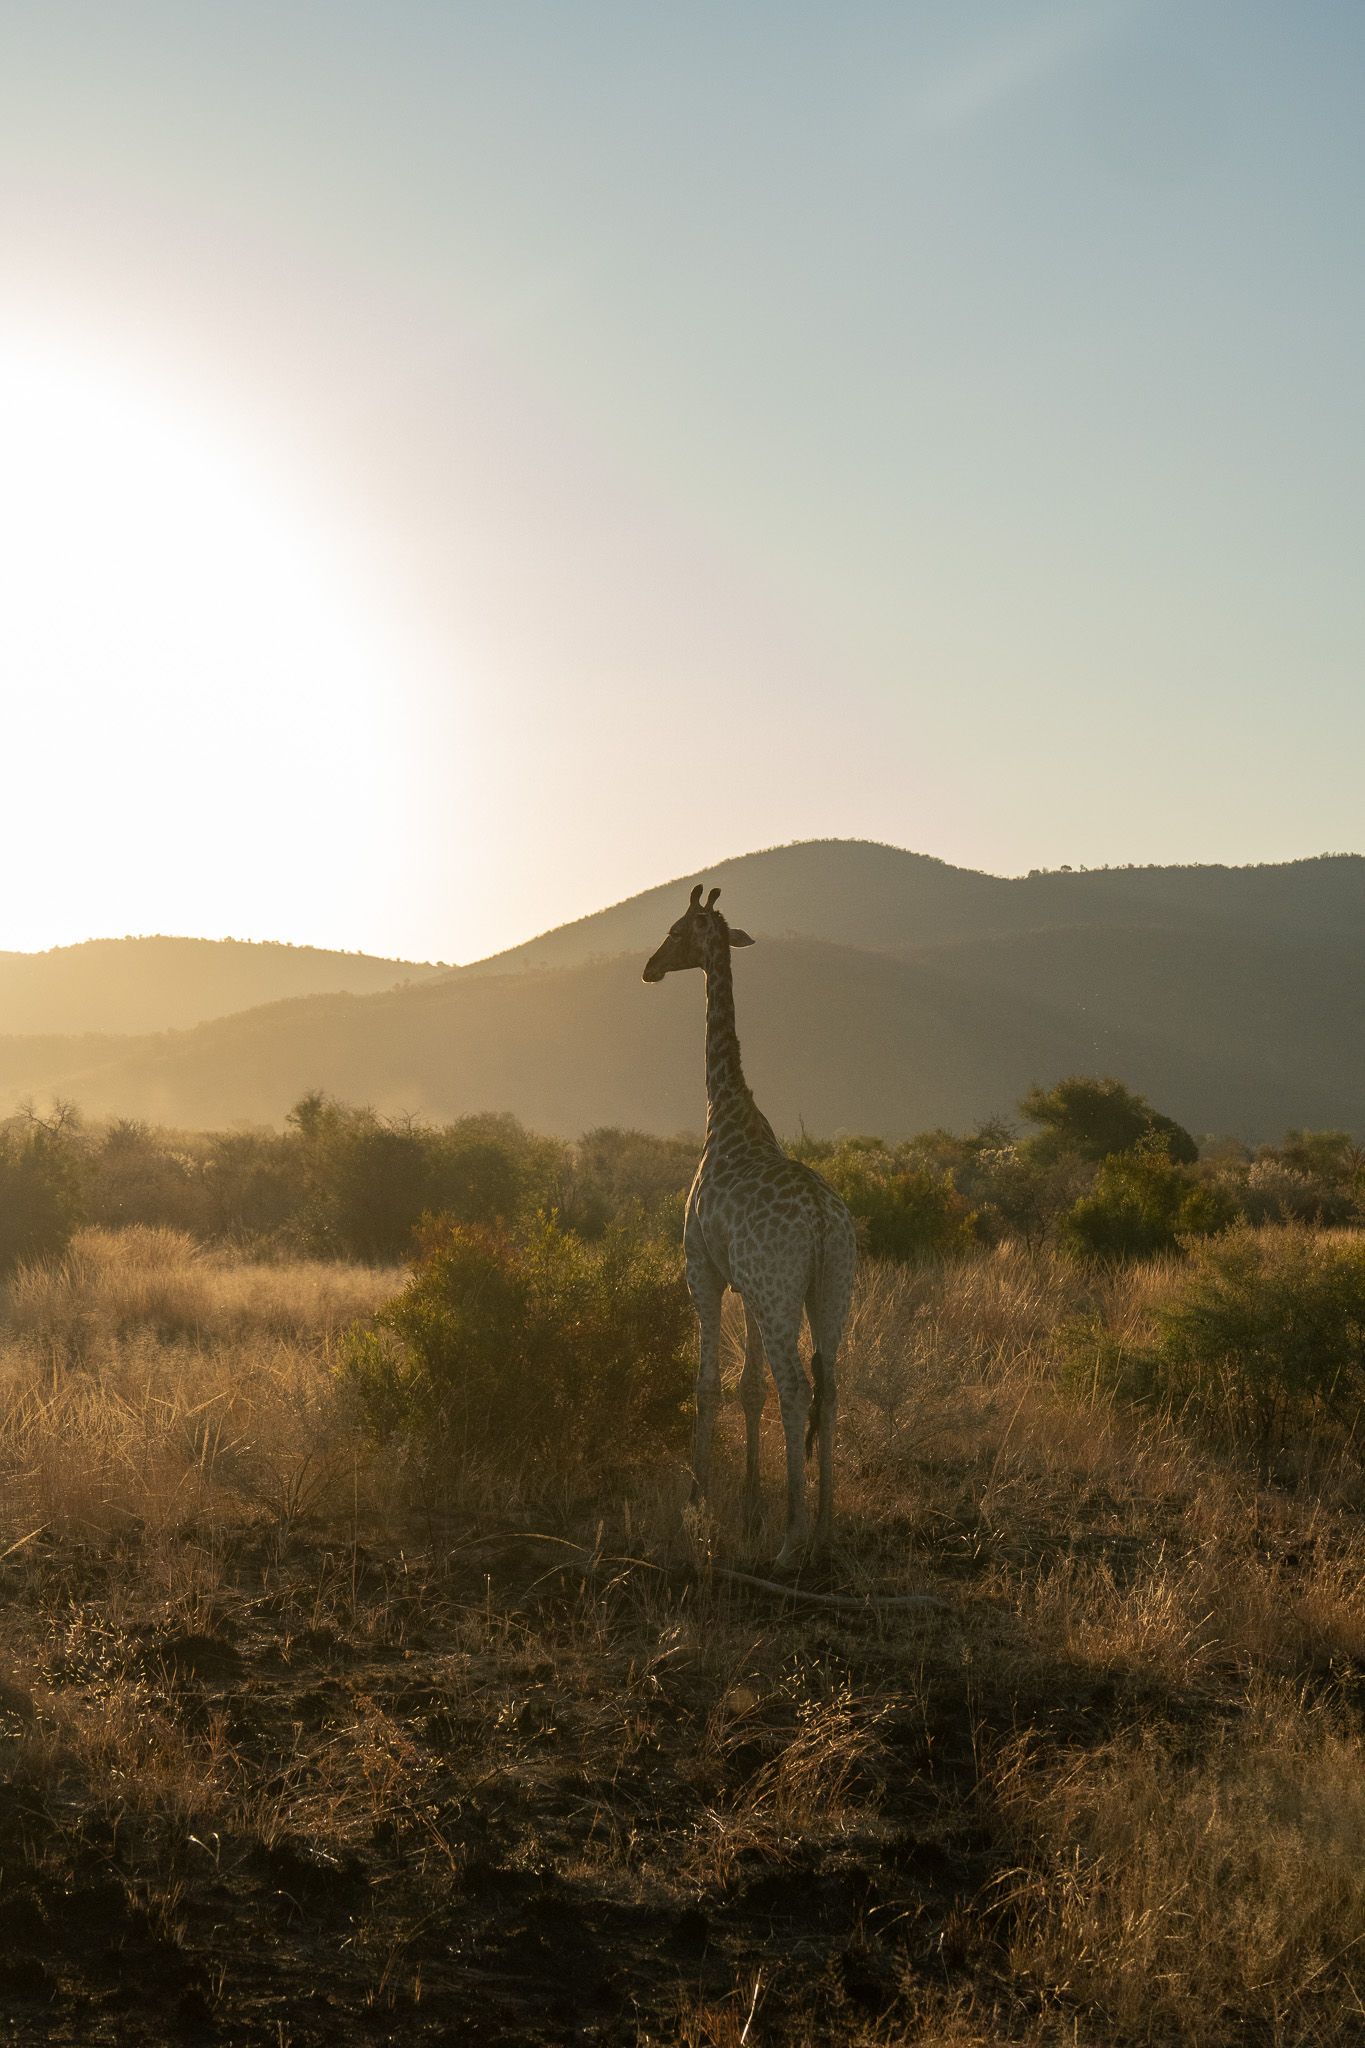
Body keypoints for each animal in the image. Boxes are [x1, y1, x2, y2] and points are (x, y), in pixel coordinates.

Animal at [643, 884, 858, 1566]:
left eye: (675, 930)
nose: (650, 968)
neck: (726, 1109)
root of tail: (821, 1221)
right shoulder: (750, 1286)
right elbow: (749, 1388)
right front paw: (749, 1505)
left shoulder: (703, 1271)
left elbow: (710, 1384)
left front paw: (699, 1503)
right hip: (828, 1288)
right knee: (830, 1386)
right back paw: (824, 1524)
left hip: (779, 1288)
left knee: (797, 1386)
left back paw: (793, 1536)